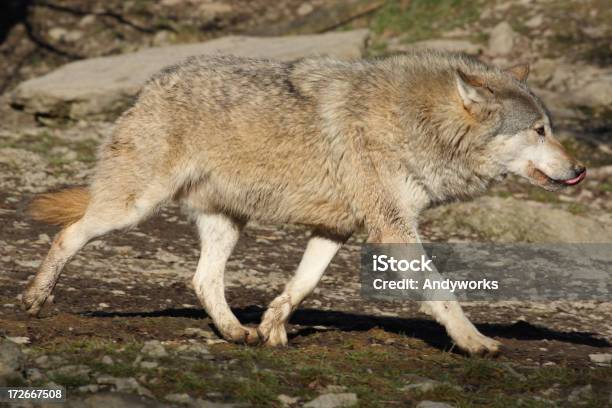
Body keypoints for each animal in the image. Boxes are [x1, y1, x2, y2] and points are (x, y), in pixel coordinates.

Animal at [23, 51, 584, 356]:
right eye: (539, 131)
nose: (579, 170)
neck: (417, 123)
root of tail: (150, 85)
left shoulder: (338, 229)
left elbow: (301, 284)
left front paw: (272, 327)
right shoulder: (393, 228)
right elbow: (442, 292)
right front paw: (473, 342)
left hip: (227, 223)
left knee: (202, 280)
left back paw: (236, 332)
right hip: (132, 207)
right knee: (68, 233)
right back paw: (35, 298)